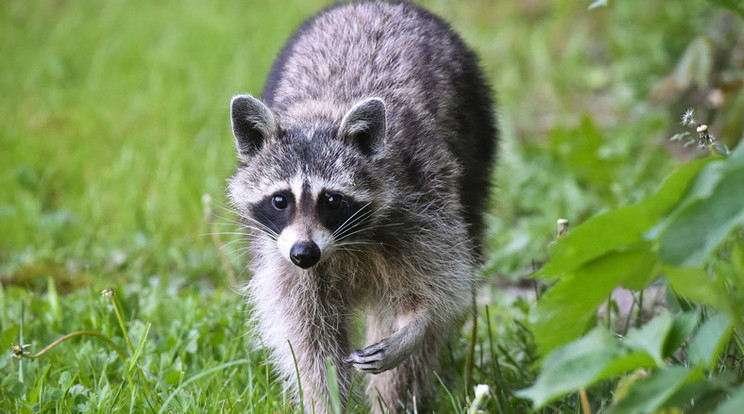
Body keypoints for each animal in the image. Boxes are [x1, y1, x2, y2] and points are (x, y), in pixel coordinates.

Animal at [227, 1, 494, 412]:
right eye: (280, 200)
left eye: (332, 200)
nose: (305, 253)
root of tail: (373, 4)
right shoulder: (282, 255)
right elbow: (307, 338)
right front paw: (326, 401)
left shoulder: (426, 198)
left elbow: (444, 286)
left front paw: (417, 323)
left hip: (476, 138)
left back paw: (396, 397)